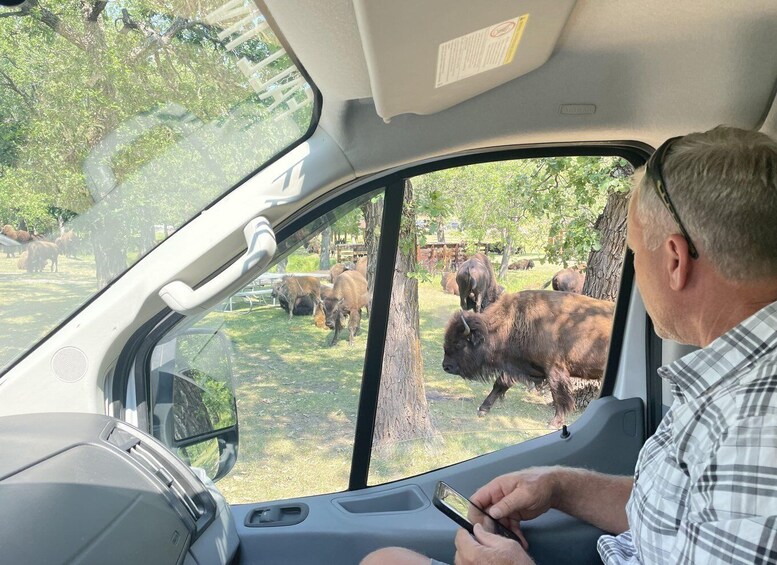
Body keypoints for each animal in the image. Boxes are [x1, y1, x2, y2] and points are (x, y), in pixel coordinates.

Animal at [442, 290, 612, 428]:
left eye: (459, 343)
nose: (446, 366)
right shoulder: (517, 366)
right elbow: (500, 383)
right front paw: (483, 409)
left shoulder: (554, 369)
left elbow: (559, 395)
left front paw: (554, 422)